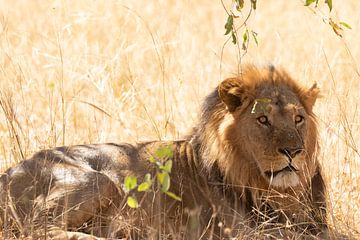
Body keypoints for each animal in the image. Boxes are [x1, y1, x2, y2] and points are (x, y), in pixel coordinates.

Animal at [0, 65, 326, 238]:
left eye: (298, 119)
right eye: (263, 120)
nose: (293, 151)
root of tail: (8, 173)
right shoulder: (240, 232)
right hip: (98, 180)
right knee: (37, 229)